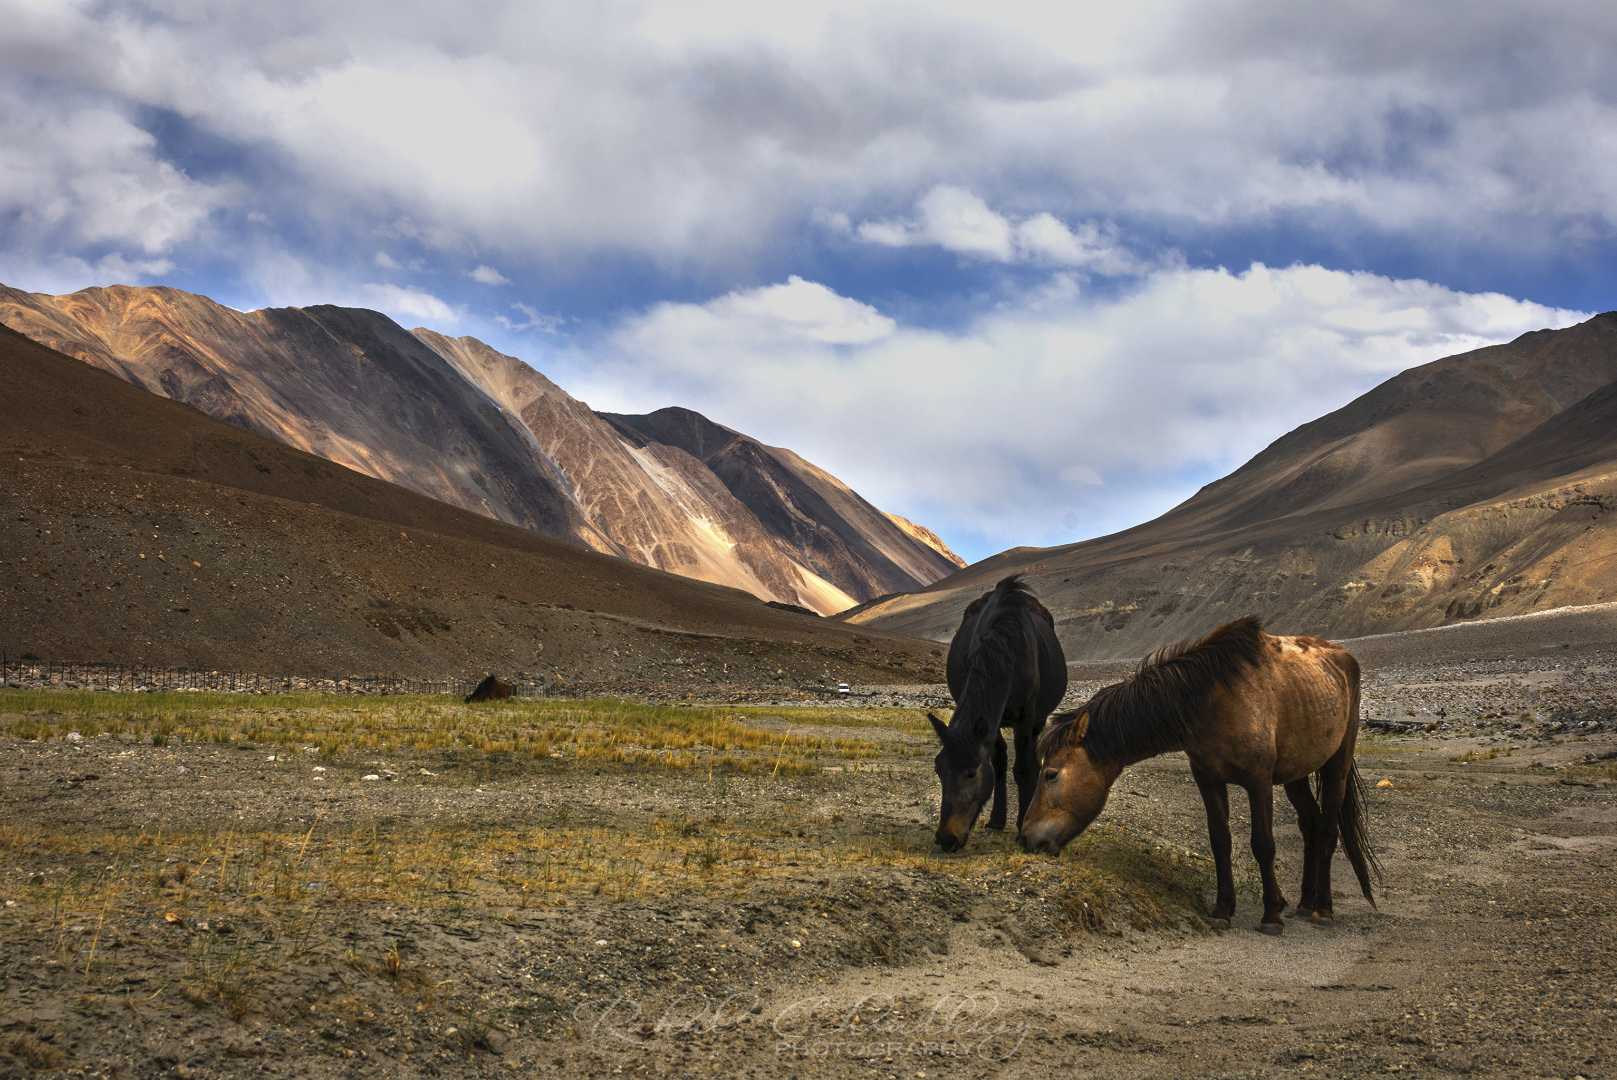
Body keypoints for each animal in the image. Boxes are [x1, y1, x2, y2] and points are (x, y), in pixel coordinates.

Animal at [929, 575, 1068, 852]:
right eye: (938, 769)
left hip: (1038, 719)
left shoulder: (1025, 716)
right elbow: (999, 762)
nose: (946, 838)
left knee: (1032, 758)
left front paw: (1022, 826)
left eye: (971, 773)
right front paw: (997, 819)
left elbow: (1023, 768)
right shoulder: (989, 723)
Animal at [1019, 617, 1379, 934]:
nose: (1026, 837)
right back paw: (1305, 903)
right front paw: (1223, 910)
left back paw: (1323, 909)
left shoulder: (1259, 782)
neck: (1214, 699)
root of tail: (1342, 657)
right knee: (1311, 825)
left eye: (1050, 774)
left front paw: (1271, 916)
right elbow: (1220, 841)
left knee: (1329, 829)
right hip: (1295, 774)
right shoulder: (1208, 780)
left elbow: (1263, 844)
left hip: (1336, 765)